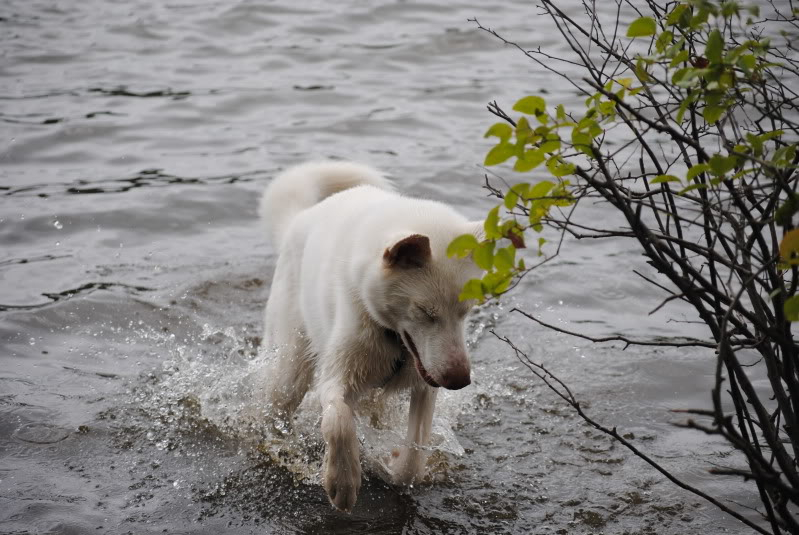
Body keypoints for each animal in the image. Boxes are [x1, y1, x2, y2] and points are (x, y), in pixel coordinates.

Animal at [260, 162, 482, 510]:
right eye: (424, 311)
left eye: (466, 310)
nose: (459, 381)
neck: (393, 338)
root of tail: (299, 218)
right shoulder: (337, 377)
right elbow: (338, 421)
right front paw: (342, 482)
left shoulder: (425, 384)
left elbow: (413, 457)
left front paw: (390, 464)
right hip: (290, 370)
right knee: (276, 408)